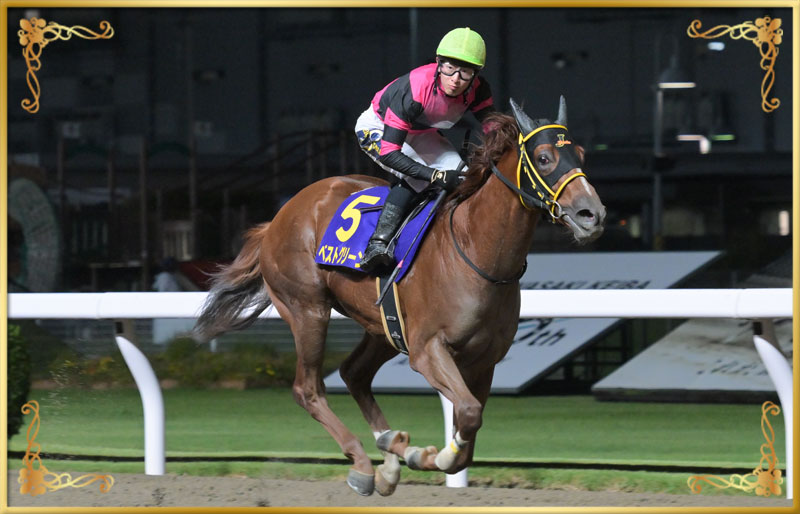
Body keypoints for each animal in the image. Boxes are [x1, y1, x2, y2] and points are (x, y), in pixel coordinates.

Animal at [194, 97, 606, 496]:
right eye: (544, 157)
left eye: (581, 154)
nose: (592, 214)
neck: (476, 250)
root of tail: (279, 217)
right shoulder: (427, 349)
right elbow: (468, 413)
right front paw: (430, 456)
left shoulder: (483, 360)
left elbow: (469, 430)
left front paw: (418, 454)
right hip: (307, 309)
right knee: (308, 389)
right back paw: (362, 464)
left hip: (383, 326)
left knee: (354, 373)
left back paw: (391, 453)